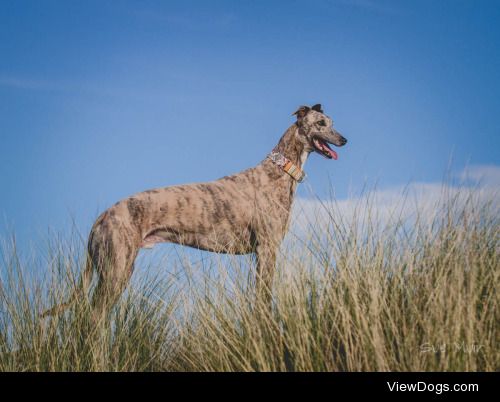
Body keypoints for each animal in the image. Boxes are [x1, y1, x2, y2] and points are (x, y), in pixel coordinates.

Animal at [43, 104, 348, 320]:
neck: (279, 171)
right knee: (93, 317)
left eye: (332, 123)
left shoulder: (262, 252)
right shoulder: (267, 249)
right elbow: (263, 299)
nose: (344, 140)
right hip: (116, 269)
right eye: (321, 123)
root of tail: (102, 217)